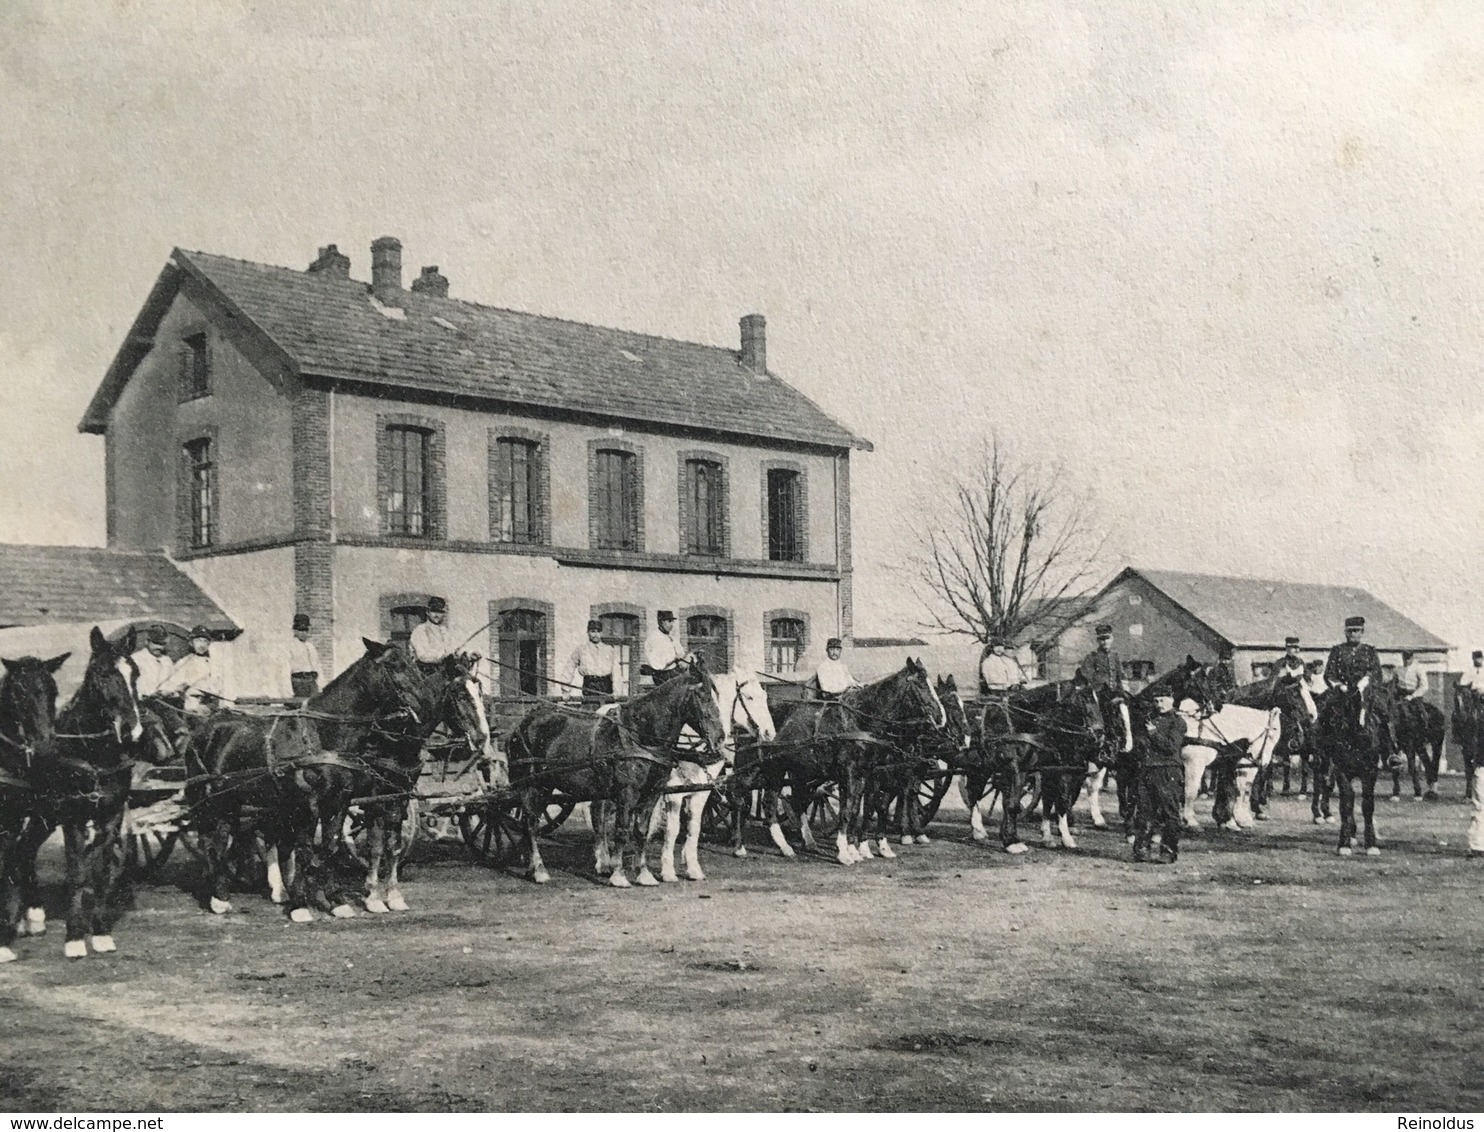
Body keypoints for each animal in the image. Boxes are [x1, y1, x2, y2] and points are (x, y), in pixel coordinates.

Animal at [504, 658, 724, 890]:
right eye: (702, 695)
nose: (720, 738)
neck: (641, 736)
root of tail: (522, 724)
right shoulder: (627, 793)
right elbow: (622, 831)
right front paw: (619, 875)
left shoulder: (652, 793)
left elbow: (641, 832)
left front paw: (644, 874)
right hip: (532, 785)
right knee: (530, 823)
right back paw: (539, 870)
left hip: (546, 786)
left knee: (534, 822)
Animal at [961, 676, 1104, 854]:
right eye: (1084, 699)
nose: (1100, 733)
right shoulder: (1015, 769)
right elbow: (1013, 803)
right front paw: (1011, 841)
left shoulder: (1050, 770)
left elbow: (1056, 801)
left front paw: (1058, 837)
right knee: (974, 793)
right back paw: (978, 829)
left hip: (981, 768)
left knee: (974, 792)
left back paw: (978, 830)